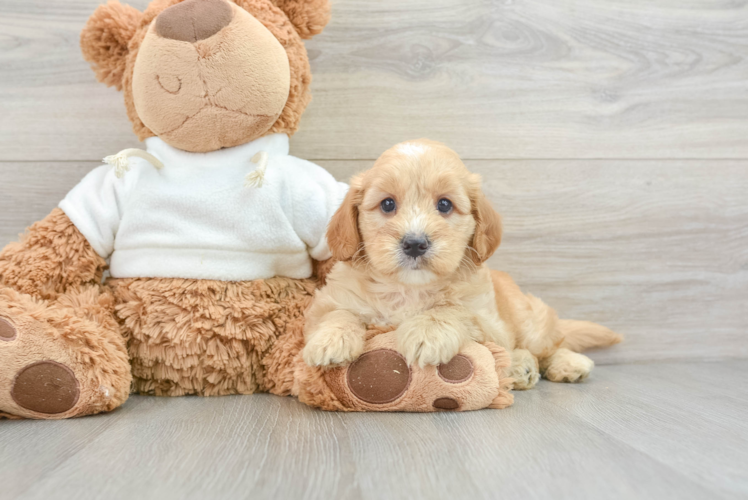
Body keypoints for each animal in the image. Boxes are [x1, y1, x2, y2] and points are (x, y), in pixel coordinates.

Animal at [300, 139, 624, 388]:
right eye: (387, 204)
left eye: (444, 204)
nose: (415, 243)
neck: (408, 289)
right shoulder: (327, 302)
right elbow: (340, 313)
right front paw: (330, 340)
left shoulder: (488, 320)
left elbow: (453, 309)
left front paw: (426, 332)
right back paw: (522, 368)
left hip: (530, 321)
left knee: (548, 345)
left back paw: (566, 364)